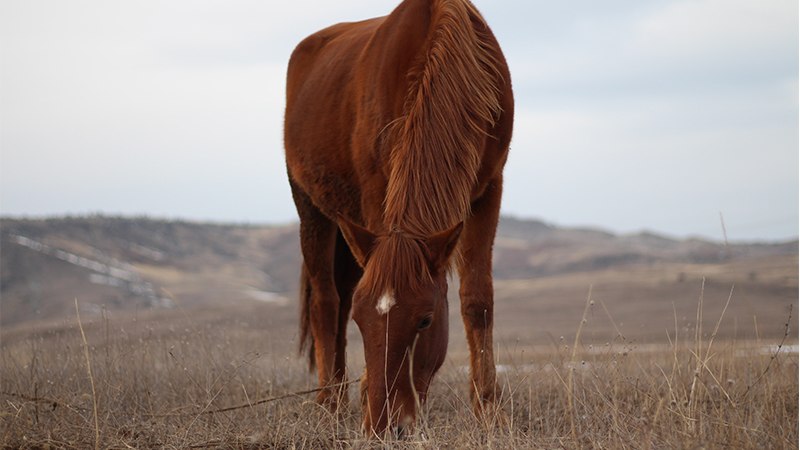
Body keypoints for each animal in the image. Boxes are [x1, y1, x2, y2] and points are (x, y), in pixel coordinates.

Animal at [284, 0, 516, 436]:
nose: (382, 424)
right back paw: (329, 403)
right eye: (364, 323)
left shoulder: (489, 188)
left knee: (339, 296)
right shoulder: (376, 189)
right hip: (310, 207)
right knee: (326, 301)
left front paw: (489, 410)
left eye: (425, 321)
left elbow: (478, 300)